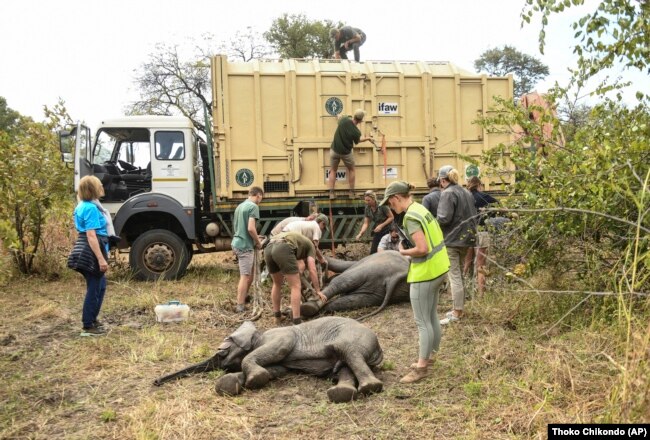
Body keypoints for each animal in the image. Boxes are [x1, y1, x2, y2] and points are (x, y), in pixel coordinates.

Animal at [154, 316, 382, 402]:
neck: (257, 333)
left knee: (345, 351)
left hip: (355, 336)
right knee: (343, 363)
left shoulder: (281, 336)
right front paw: (232, 383)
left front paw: (254, 380)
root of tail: (379, 349)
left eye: (221, 353)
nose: (155, 382)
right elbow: (278, 369)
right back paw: (342, 393)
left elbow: (279, 348)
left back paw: (369, 388)